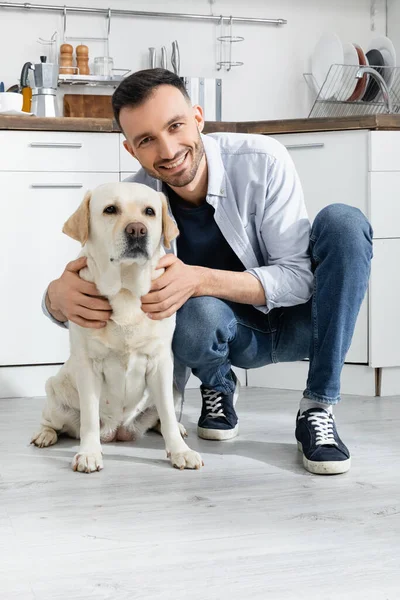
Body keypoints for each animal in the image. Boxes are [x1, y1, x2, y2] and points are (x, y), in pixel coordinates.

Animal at [32, 182, 203, 474]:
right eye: (110, 209)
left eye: (149, 212)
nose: (137, 230)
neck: (126, 289)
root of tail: (118, 431)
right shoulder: (89, 365)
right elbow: (89, 418)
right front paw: (89, 454)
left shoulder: (160, 362)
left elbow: (168, 416)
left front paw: (180, 451)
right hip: (55, 393)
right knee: (53, 422)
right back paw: (44, 435)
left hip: (174, 388)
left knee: (163, 416)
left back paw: (177, 430)